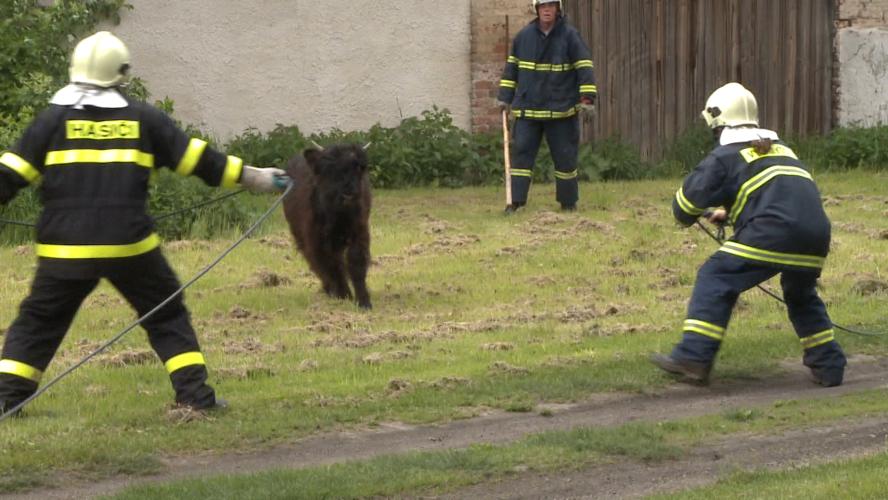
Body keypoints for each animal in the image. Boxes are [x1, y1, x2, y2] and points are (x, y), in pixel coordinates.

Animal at [280, 144, 372, 308]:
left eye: (359, 168)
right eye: (330, 169)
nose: (349, 193)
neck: (338, 215)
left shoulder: (359, 233)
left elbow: (356, 262)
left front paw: (364, 301)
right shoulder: (316, 240)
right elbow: (330, 265)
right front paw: (343, 295)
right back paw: (330, 289)